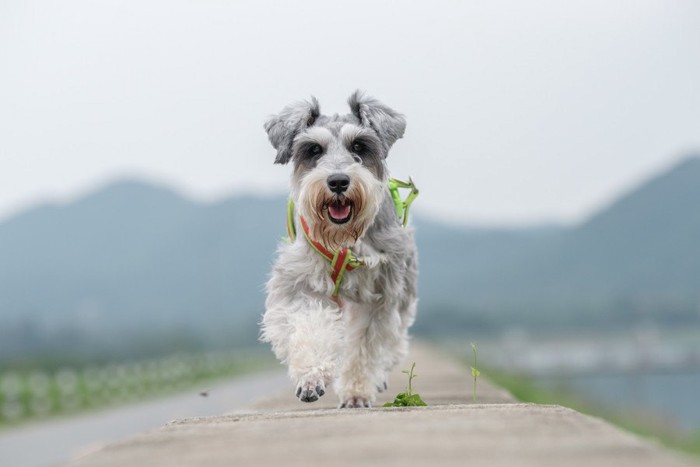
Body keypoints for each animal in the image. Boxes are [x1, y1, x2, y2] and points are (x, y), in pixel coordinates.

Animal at [262, 91, 416, 410]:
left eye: (359, 146)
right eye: (313, 149)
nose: (338, 181)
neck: (344, 240)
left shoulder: (379, 296)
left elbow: (365, 347)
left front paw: (357, 392)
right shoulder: (298, 285)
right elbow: (309, 327)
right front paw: (310, 377)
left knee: (393, 343)